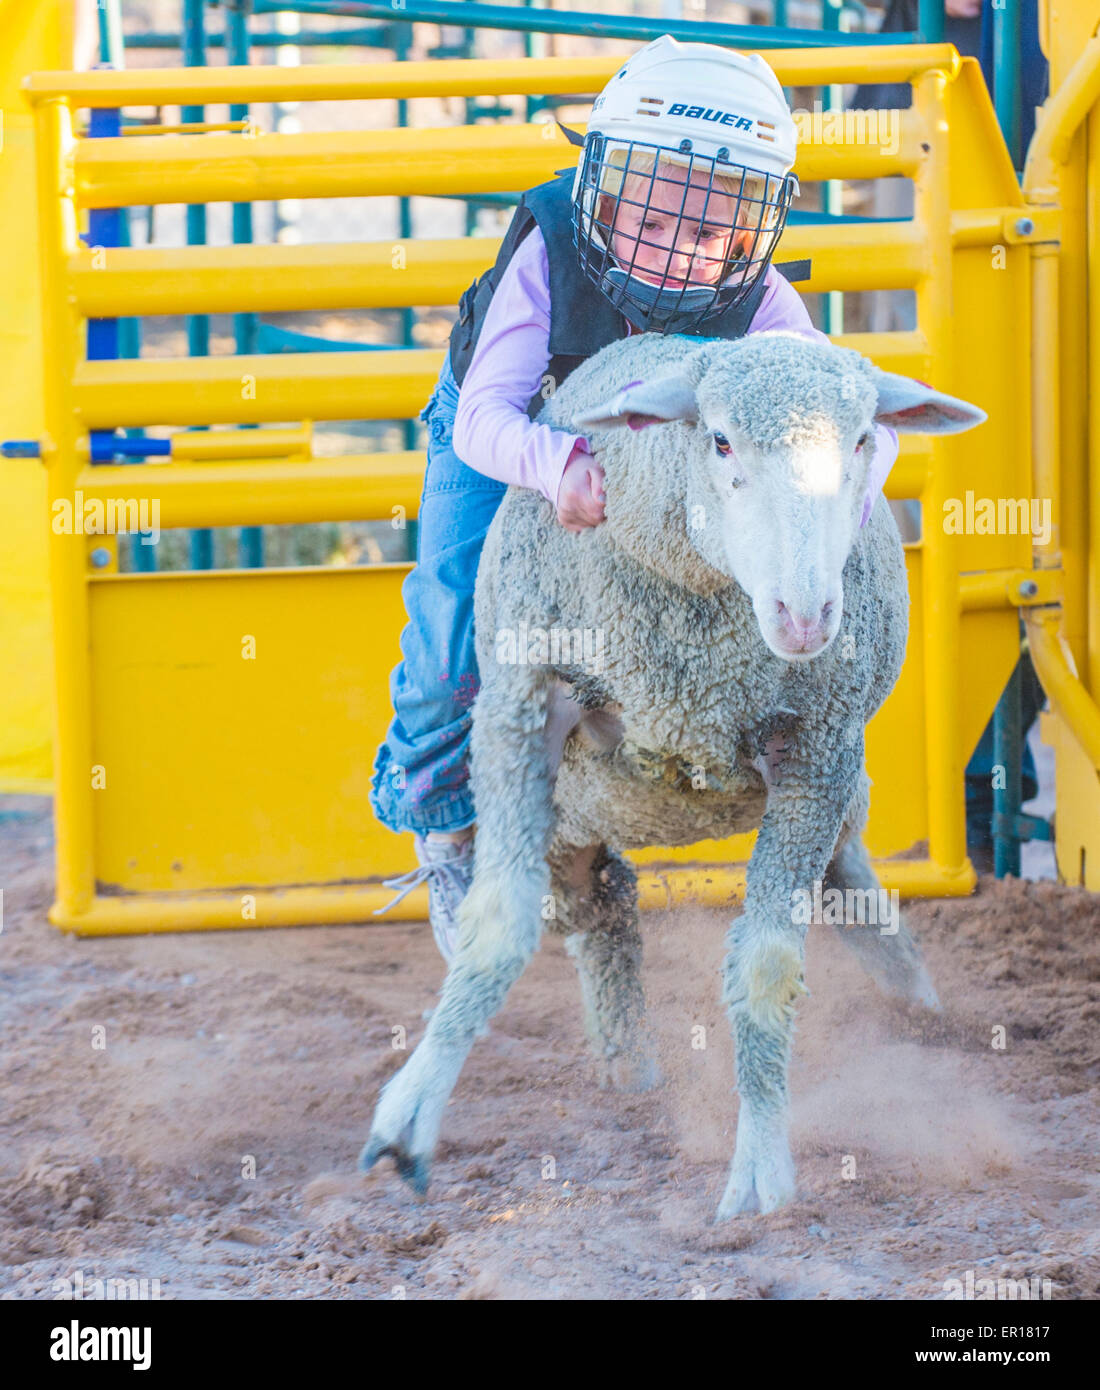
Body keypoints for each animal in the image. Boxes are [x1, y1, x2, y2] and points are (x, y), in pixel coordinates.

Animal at [360, 329, 986, 1218]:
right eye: (719, 440)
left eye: (866, 438)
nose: (805, 618)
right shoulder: (523, 702)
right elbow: (497, 925)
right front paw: (407, 1117)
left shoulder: (816, 748)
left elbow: (768, 964)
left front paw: (760, 1167)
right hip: (560, 802)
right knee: (590, 901)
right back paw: (619, 1055)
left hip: (830, 790)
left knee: (835, 887)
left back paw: (918, 1014)